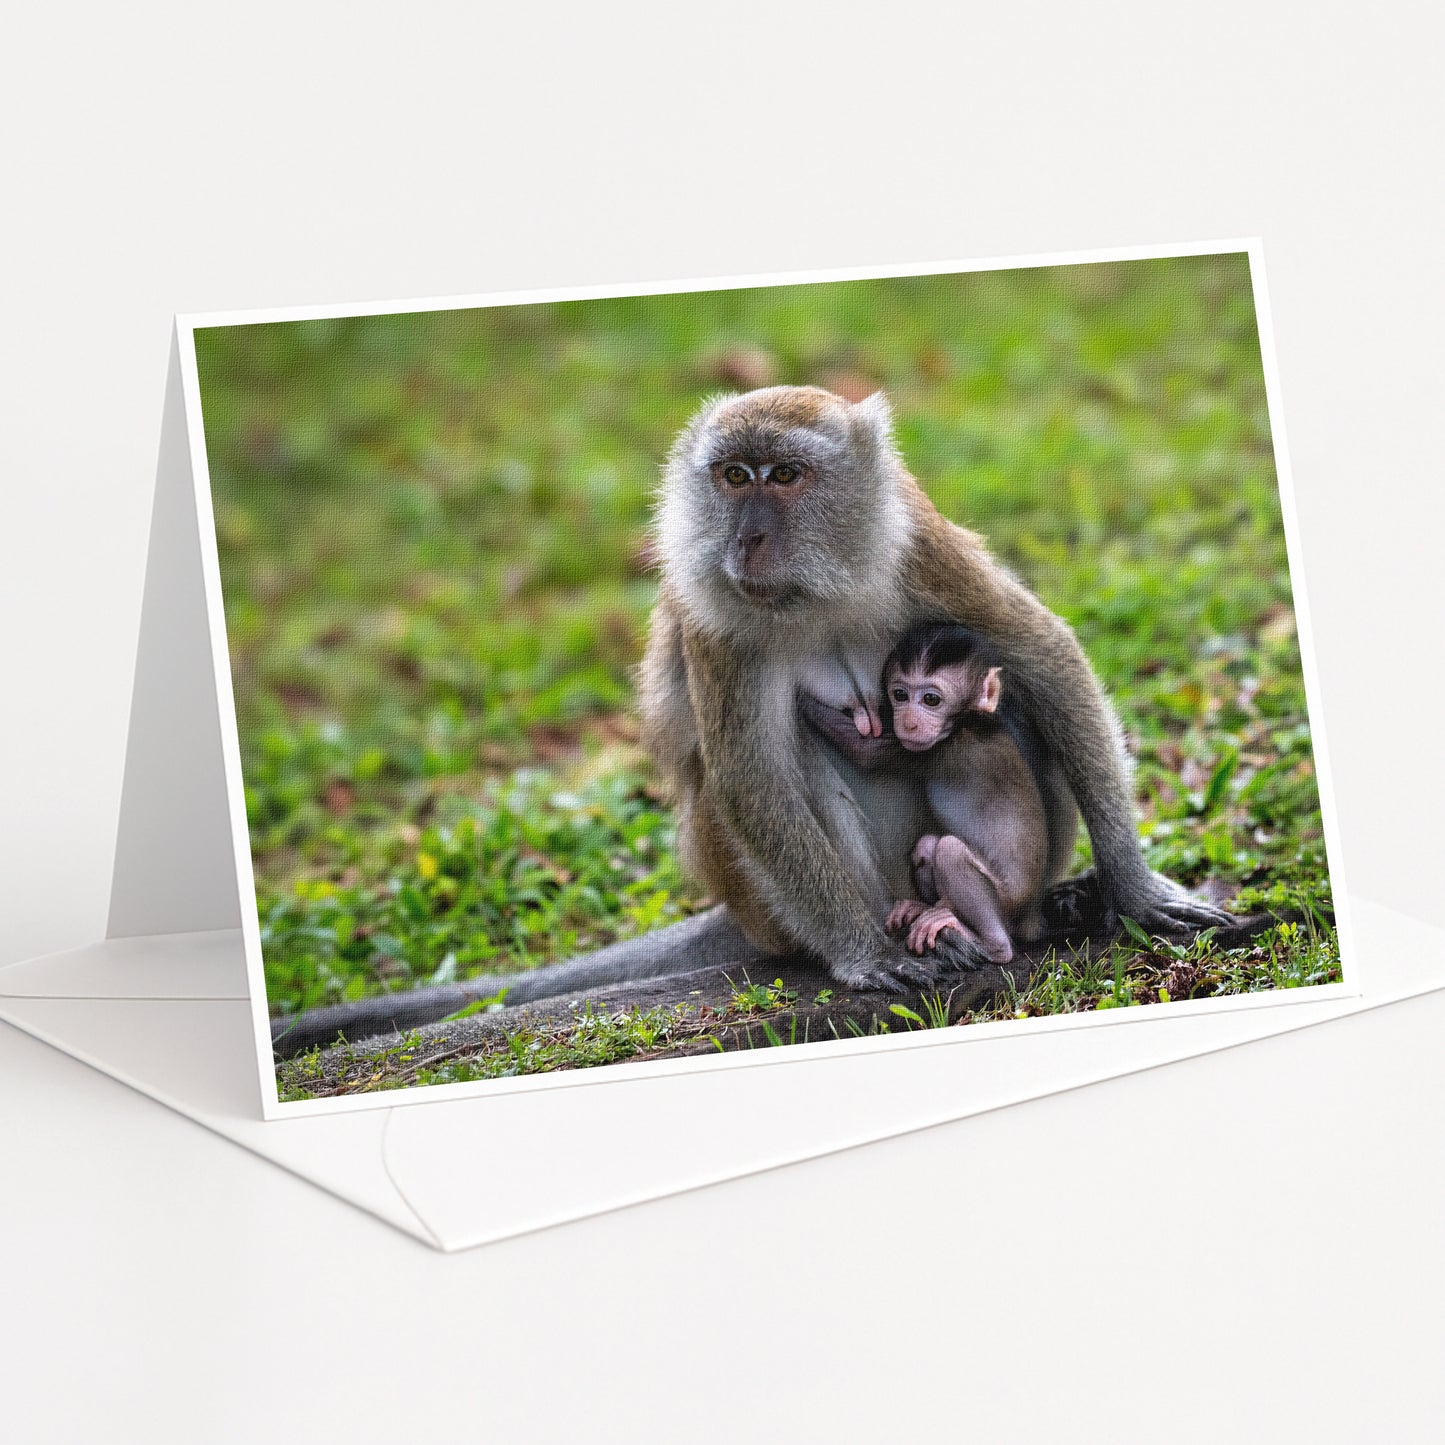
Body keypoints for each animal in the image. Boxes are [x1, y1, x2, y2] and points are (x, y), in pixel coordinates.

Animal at [272, 384, 1228, 1056]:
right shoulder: (714, 616)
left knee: (1007, 701)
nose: (749, 540)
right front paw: (860, 954)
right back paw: (920, 928)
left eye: (787, 476)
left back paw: (1037, 908)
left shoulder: (916, 543)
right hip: (761, 890)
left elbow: (1042, 655)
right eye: (734, 477)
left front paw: (1137, 887)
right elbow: (750, 773)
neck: (814, 588)